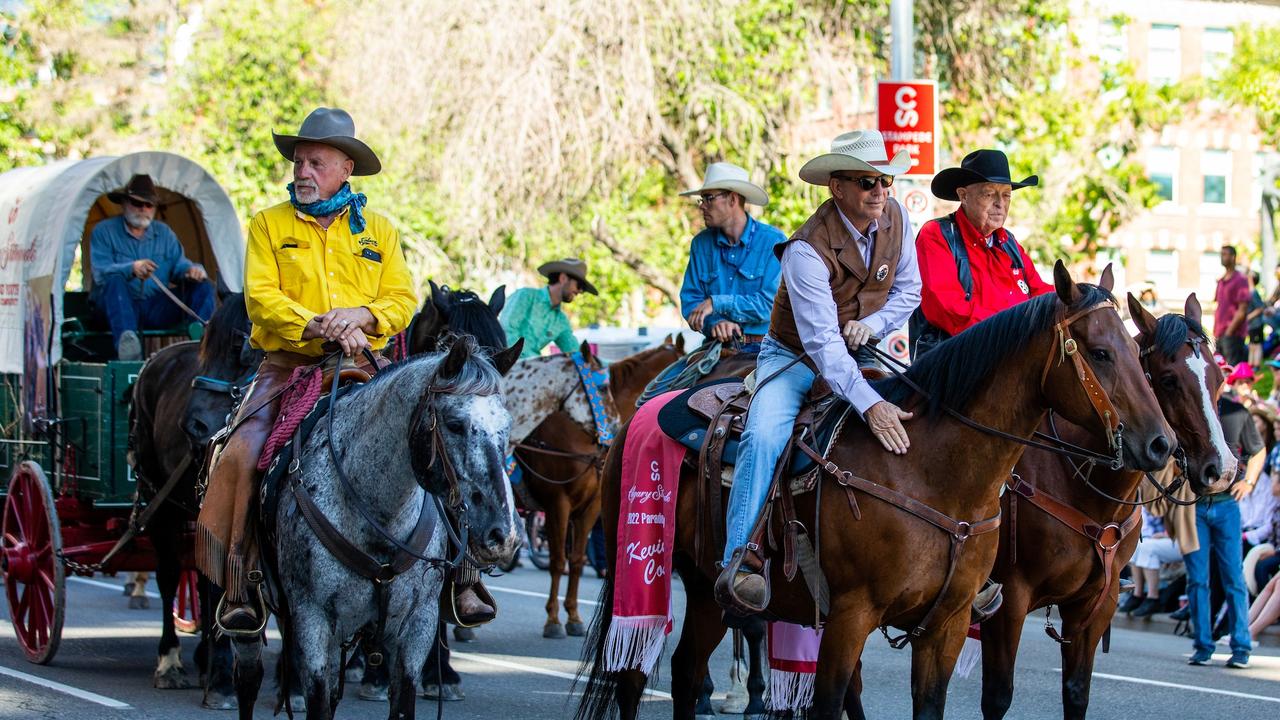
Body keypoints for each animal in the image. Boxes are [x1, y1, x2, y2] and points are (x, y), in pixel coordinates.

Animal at [128, 293, 261, 707]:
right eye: (207, 346)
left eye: (239, 346)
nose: (194, 427)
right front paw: (220, 681)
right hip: (162, 503)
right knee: (171, 574)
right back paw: (170, 661)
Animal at [231, 335, 524, 717]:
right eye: (455, 424)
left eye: (506, 426)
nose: (503, 534)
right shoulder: (314, 620)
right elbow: (318, 701)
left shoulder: (416, 626)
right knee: (247, 678)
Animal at [514, 333, 686, 635]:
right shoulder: (557, 503)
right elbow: (558, 561)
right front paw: (553, 619)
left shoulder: (590, 507)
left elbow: (576, 560)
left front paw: (572, 616)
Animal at [576, 262, 1172, 717]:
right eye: (1099, 352)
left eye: (1134, 349)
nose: (1162, 445)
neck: (934, 473)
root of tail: (643, 412)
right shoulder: (850, 616)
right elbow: (831, 702)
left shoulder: (948, 626)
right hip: (644, 569)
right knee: (632, 676)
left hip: (703, 586)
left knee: (683, 670)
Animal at [977, 292, 1239, 717]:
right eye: (1169, 380)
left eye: (1218, 379)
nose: (1224, 469)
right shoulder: (1008, 599)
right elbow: (997, 695)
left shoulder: (1096, 606)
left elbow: (1077, 692)